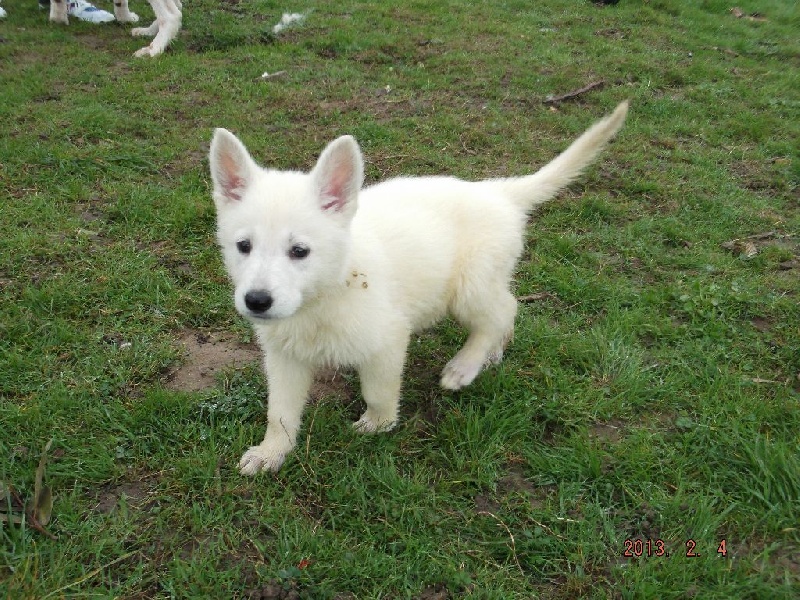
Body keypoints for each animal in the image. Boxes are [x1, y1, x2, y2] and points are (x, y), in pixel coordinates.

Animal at [49, 0, 181, 57]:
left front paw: (57, 18)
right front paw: (125, 18)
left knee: (172, 15)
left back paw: (152, 49)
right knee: (178, 8)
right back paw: (148, 31)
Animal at [209, 102, 628, 474]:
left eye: (299, 251)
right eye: (243, 246)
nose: (257, 301)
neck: (325, 294)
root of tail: (498, 193)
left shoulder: (388, 340)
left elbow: (378, 392)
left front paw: (378, 424)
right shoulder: (284, 356)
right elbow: (279, 412)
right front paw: (271, 452)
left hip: (469, 286)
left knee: (503, 311)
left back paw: (465, 365)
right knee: (504, 306)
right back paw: (493, 352)